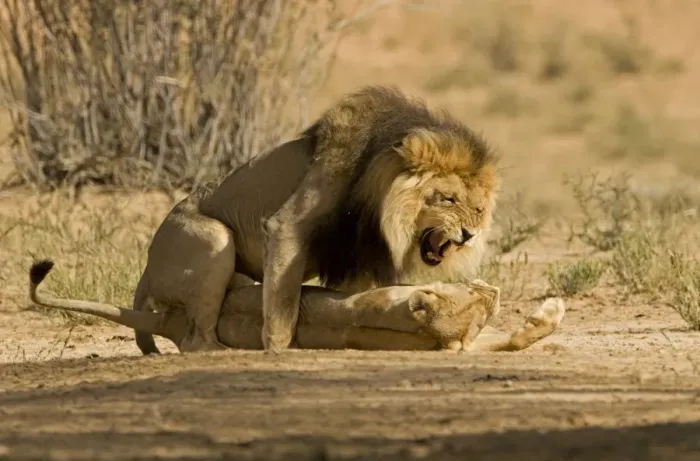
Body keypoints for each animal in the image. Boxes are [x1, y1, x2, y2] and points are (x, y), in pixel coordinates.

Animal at [122, 85, 500, 354]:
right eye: (447, 199)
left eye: (478, 210)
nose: (468, 234)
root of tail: (148, 268)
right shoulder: (287, 227)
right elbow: (282, 303)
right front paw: (279, 348)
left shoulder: (358, 258)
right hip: (214, 238)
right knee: (195, 340)